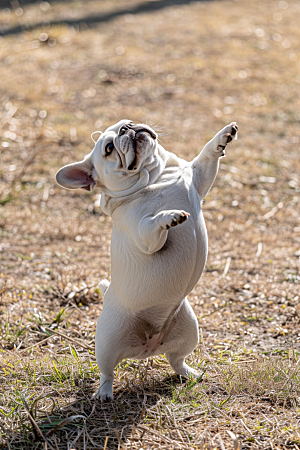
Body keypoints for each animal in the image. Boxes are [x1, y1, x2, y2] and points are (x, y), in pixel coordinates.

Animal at [55, 119, 239, 400]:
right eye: (109, 149)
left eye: (126, 122)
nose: (128, 129)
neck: (153, 178)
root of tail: (147, 347)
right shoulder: (143, 233)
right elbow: (151, 222)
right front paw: (169, 216)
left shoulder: (198, 177)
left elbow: (207, 156)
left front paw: (223, 137)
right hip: (106, 341)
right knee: (107, 372)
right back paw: (104, 393)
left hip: (189, 329)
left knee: (176, 359)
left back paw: (191, 373)